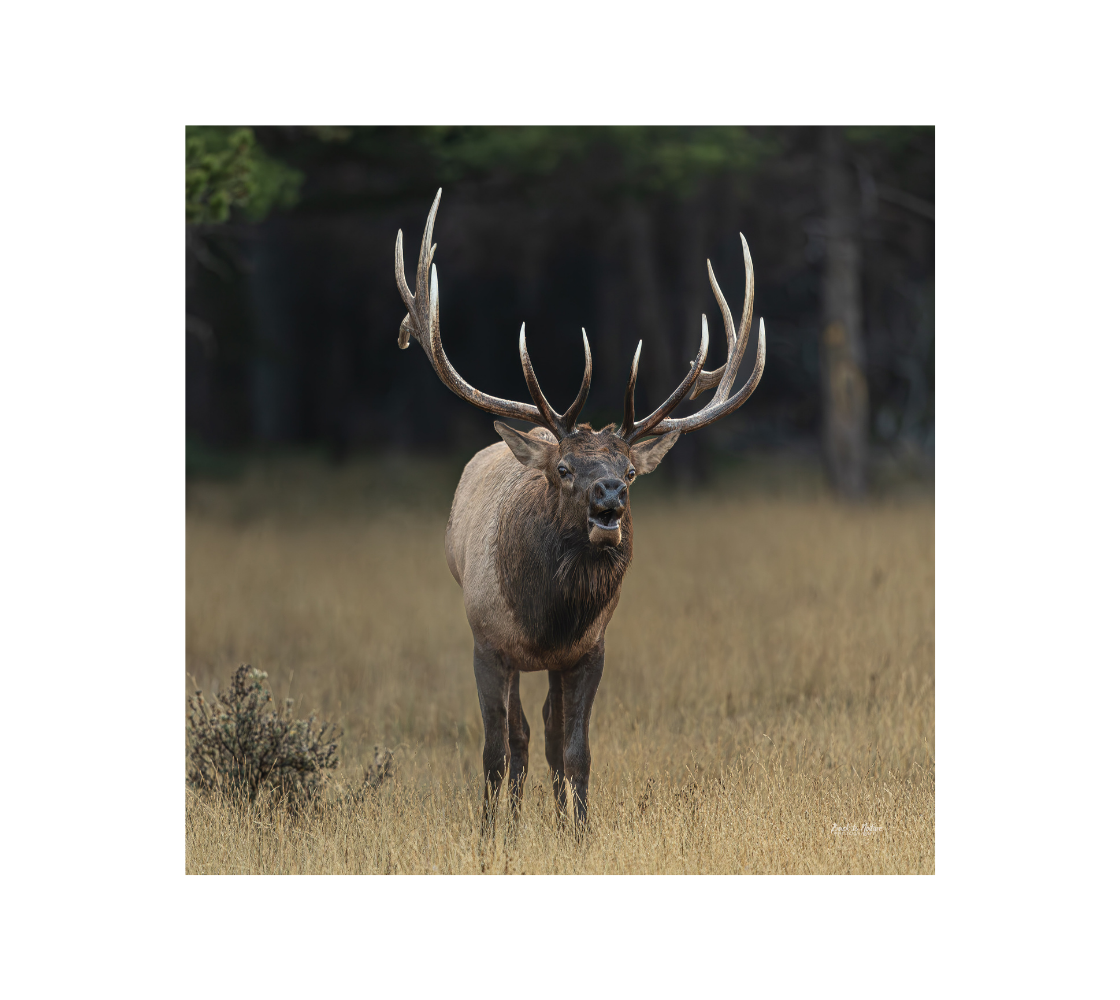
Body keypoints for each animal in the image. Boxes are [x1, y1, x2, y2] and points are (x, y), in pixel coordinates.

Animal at [394, 190, 765, 831]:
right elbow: (495, 751)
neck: (545, 620)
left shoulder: (589, 650)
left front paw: (580, 832)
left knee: (543, 732)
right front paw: (491, 834)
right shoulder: (486, 641)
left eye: (632, 473)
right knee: (517, 737)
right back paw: (513, 818)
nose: (608, 497)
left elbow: (574, 750)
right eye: (564, 470)